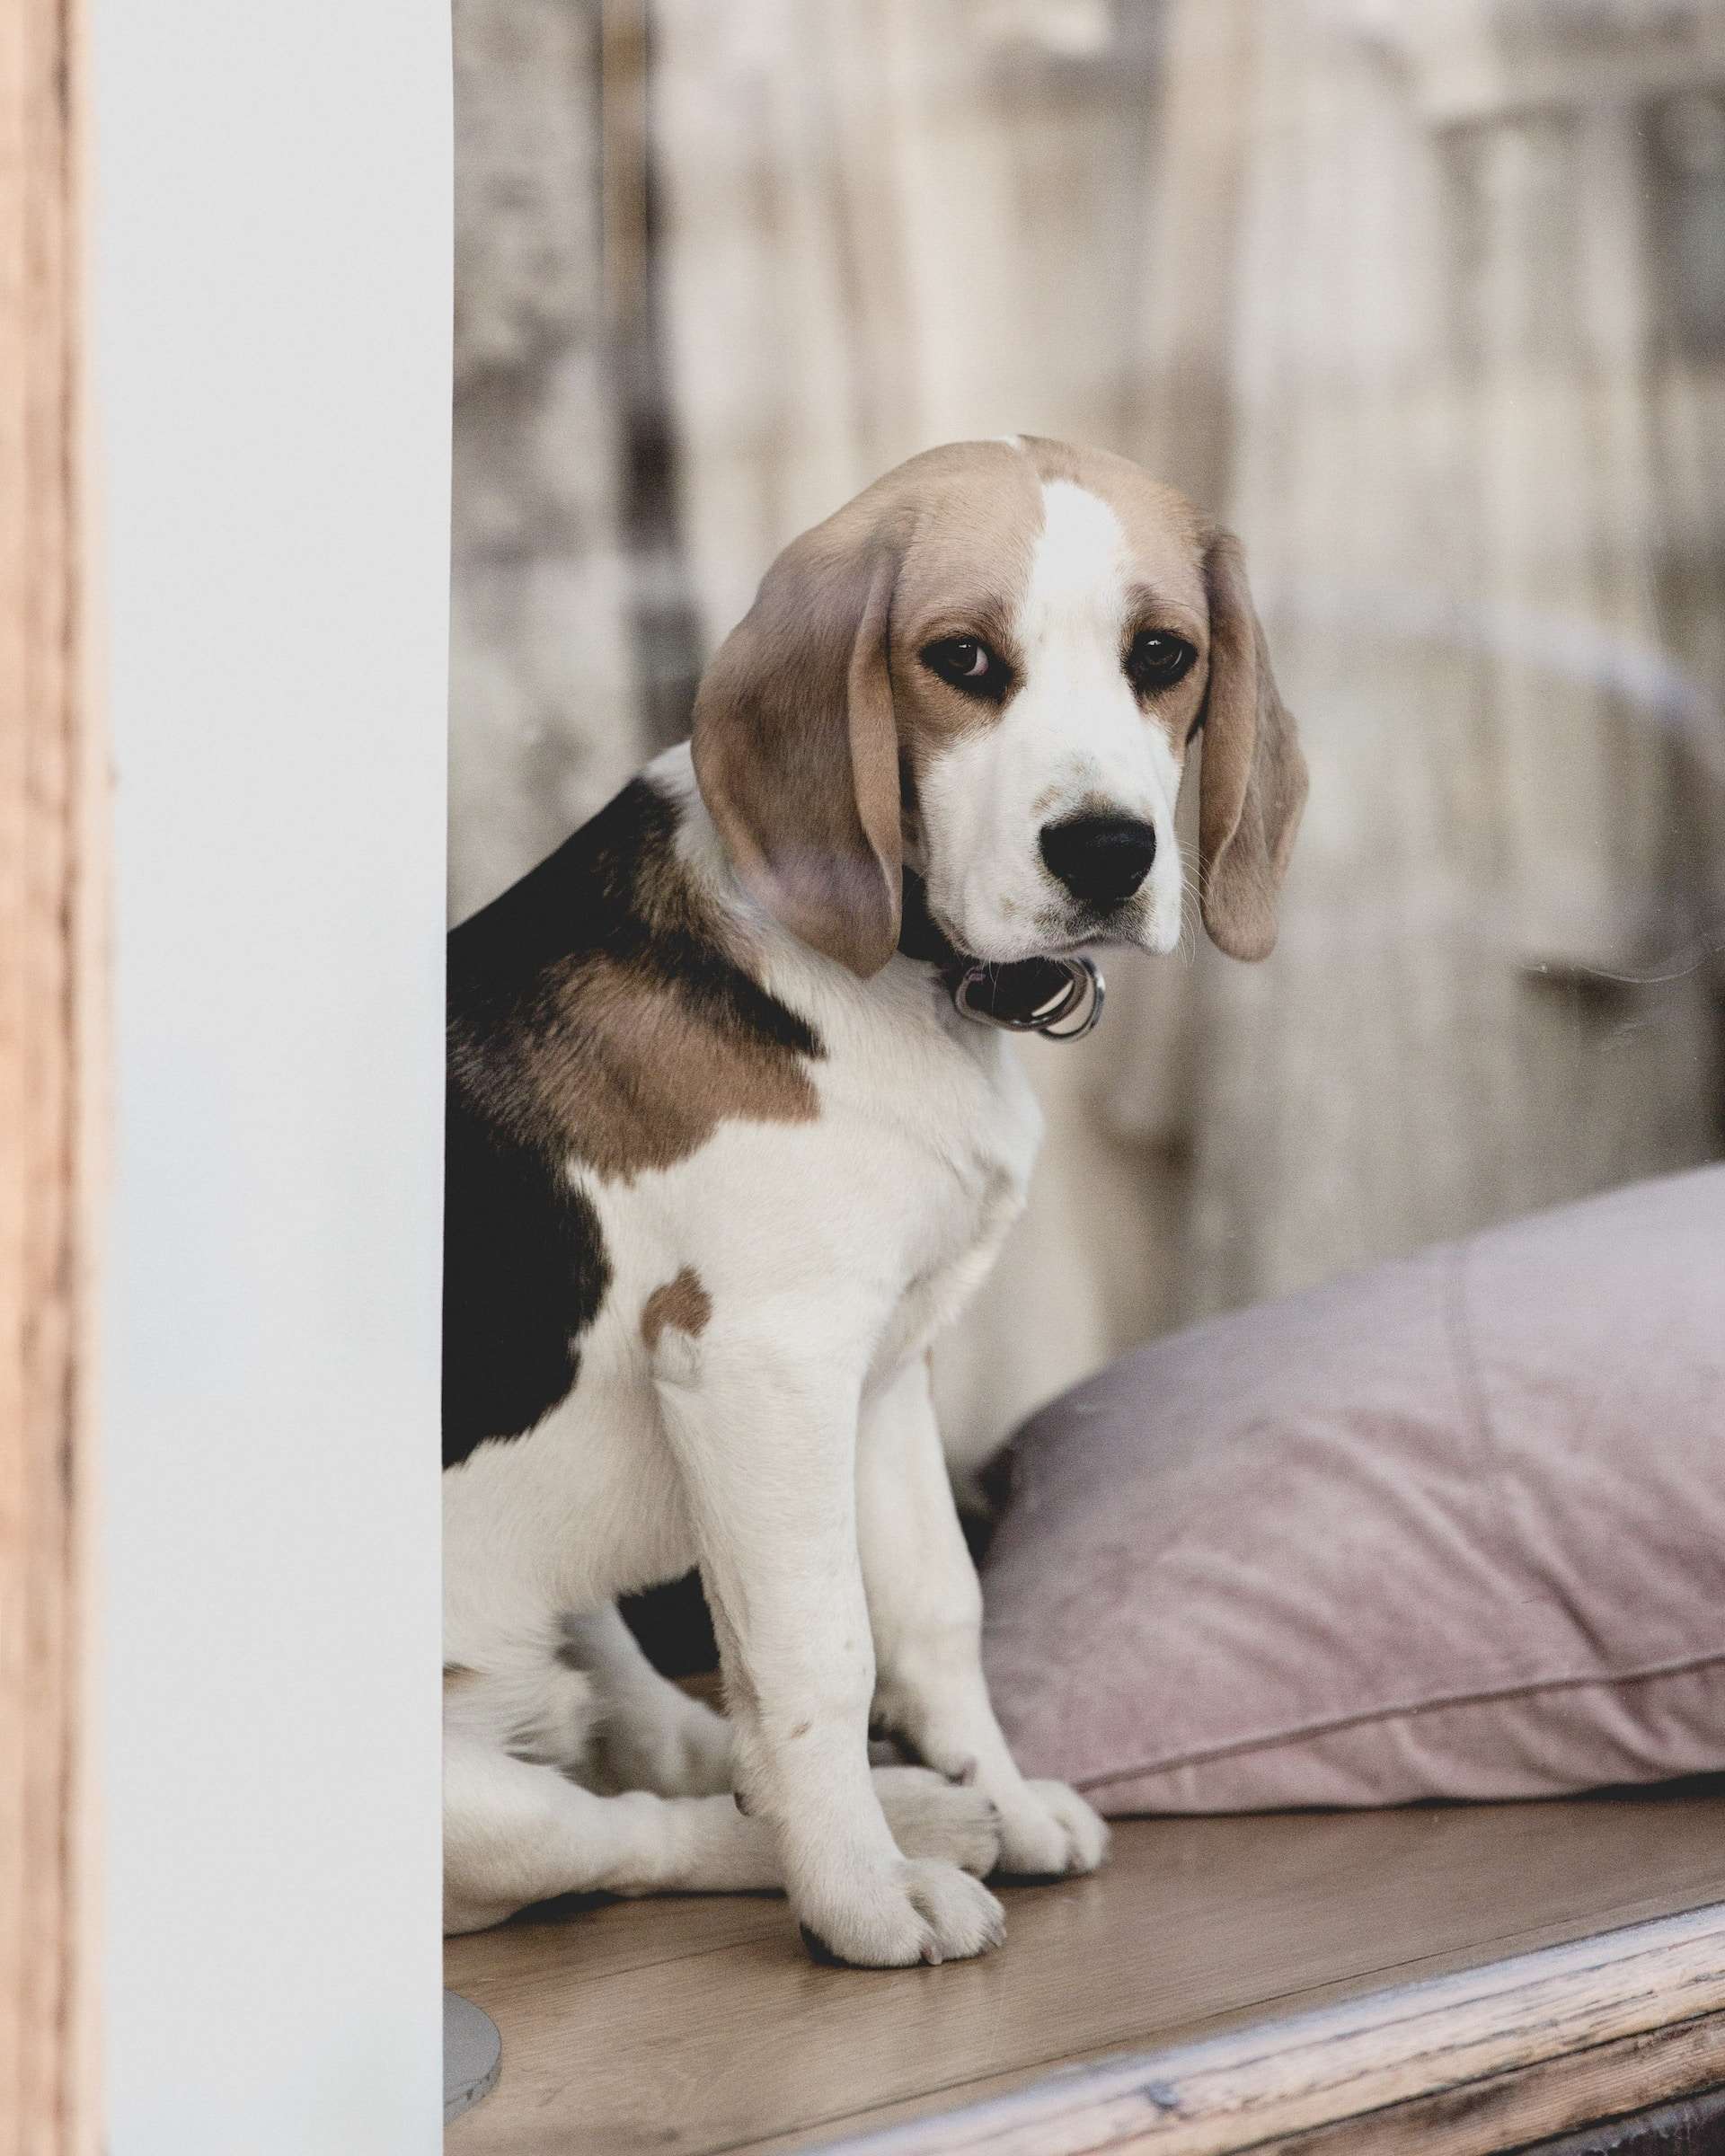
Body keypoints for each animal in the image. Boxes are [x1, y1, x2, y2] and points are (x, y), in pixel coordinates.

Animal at [444, 429, 1311, 1966]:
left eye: (1163, 653)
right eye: (960, 659)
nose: (1108, 852)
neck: (909, 974)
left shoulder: (887, 1367)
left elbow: (932, 1616)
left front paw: (997, 1798)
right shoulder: (762, 1364)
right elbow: (820, 1652)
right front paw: (860, 1896)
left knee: (664, 1743)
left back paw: (926, 1810)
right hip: (466, 1809)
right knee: (625, 1837)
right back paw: (876, 1848)